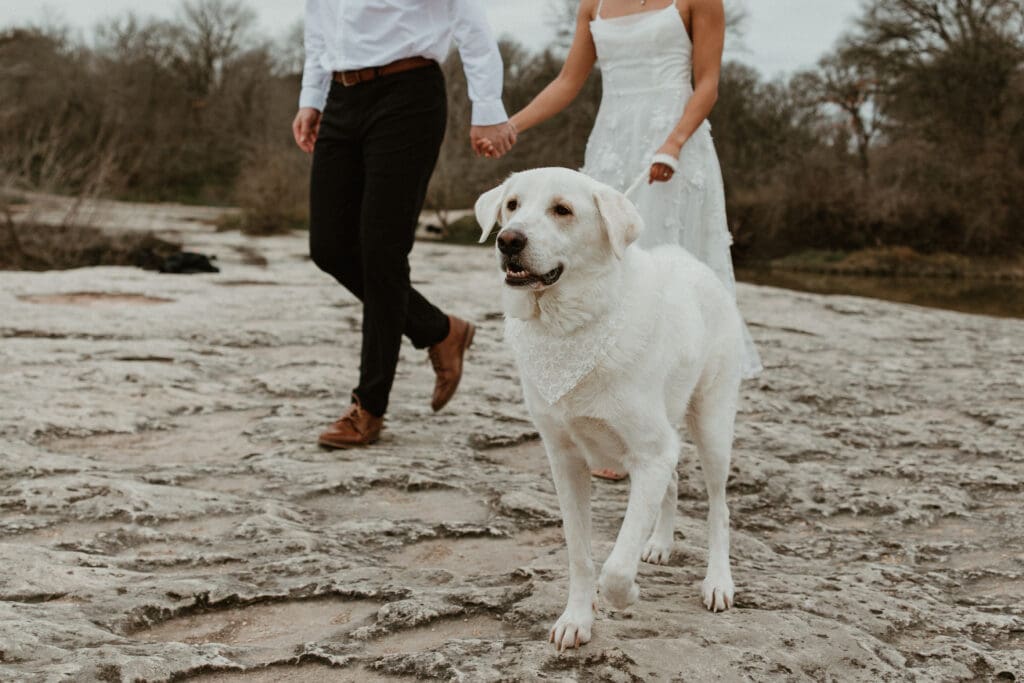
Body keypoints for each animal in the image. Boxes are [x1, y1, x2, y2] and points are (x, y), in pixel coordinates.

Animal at [475, 166, 741, 651]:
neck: (571, 326)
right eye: (512, 205)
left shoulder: (649, 454)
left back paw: (718, 582)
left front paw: (626, 592)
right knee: (674, 481)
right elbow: (580, 554)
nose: (508, 240)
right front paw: (577, 619)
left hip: (712, 428)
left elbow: (615, 566)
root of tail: (693, 263)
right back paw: (659, 544)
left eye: (562, 210)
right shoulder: (567, 461)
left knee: (719, 509)